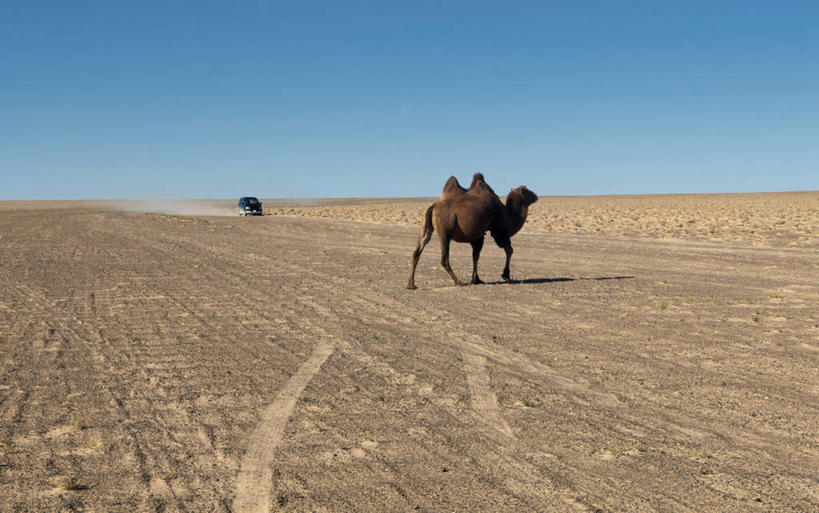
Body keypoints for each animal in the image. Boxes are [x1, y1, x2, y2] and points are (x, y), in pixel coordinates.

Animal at [408, 174, 540, 288]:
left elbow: (475, 255)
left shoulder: (478, 235)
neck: (506, 212)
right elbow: (509, 250)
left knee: (418, 251)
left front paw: (476, 279)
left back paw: (411, 285)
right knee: (444, 259)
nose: (536, 195)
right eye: (527, 191)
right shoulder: (498, 230)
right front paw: (505, 275)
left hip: (427, 228)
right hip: (444, 232)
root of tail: (433, 206)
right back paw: (459, 282)